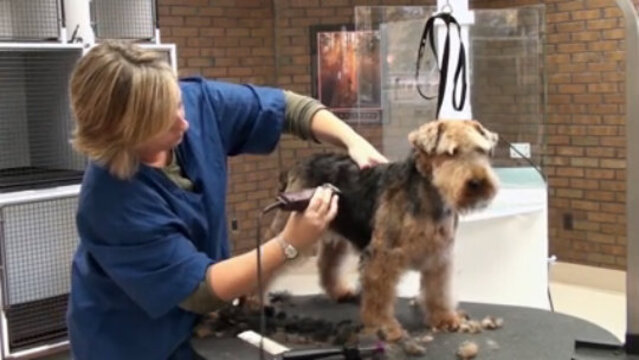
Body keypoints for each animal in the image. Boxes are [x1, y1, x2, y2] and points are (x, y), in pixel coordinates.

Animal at [264, 119, 500, 342]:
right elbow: (379, 298)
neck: (428, 194)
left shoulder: (439, 256)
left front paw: (445, 319)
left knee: (327, 265)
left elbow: (438, 292)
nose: (478, 182)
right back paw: (258, 301)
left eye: (482, 150)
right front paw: (384, 327)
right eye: (451, 153)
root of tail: (297, 165)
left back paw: (340, 292)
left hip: (337, 235)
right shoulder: (382, 257)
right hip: (293, 229)